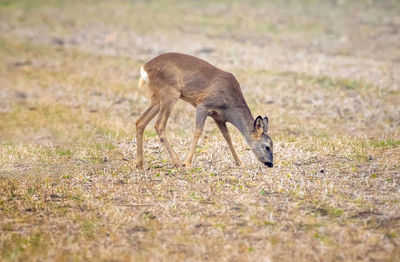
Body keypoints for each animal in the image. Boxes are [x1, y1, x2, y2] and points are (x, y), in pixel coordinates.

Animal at [134, 52, 272, 169]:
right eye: (267, 147)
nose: (271, 164)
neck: (230, 106)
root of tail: (145, 68)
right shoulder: (203, 104)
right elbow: (198, 132)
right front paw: (187, 163)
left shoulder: (218, 117)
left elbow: (227, 137)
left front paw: (239, 162)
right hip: (170, 93)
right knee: (159, 125)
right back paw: (177, 162)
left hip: (157, 98)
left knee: (140, 122)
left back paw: (140, 164)